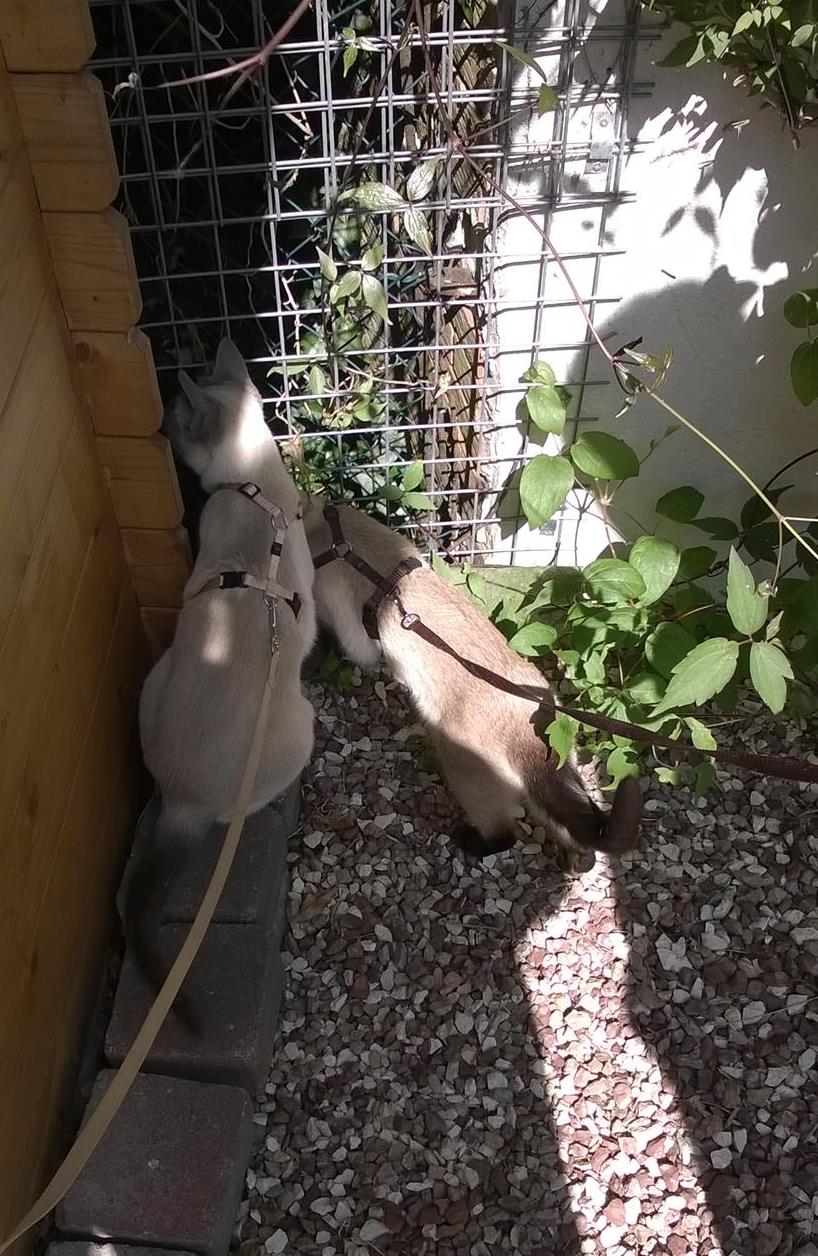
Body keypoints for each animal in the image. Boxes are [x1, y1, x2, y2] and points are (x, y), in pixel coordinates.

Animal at [301, 494, 642, 865]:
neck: (336, 536)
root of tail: (525, 727)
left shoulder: (350, 631)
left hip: (463, 770)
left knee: (505, 835)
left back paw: (469, 841)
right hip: (559, 769)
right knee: (578, 826)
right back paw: (576, 863)